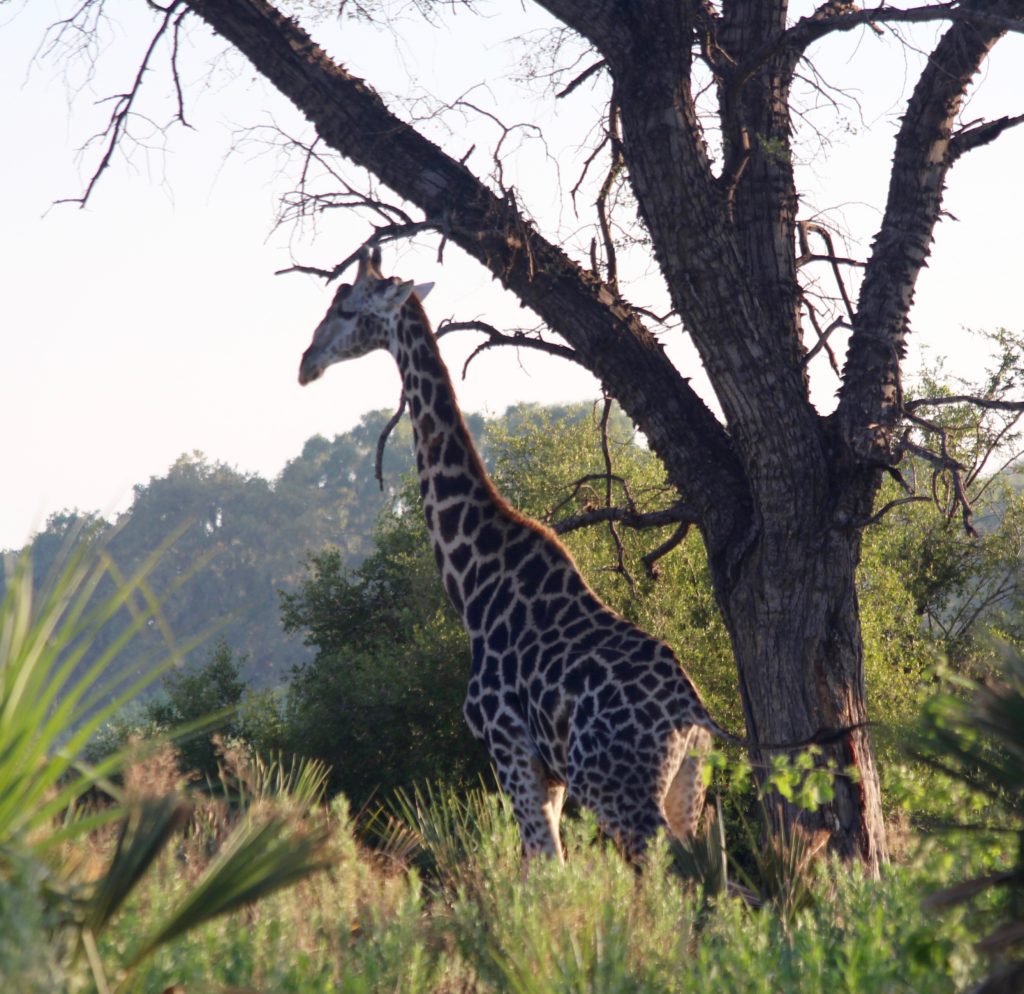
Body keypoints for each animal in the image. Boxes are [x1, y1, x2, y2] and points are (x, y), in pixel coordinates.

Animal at [299, 250, 737, 863]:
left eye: (345, 308)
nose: (306, 363)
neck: (472, 581)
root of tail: (691, 718)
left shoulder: (508, 748)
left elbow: (543, 864)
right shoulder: (544, 772)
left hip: (614, 785)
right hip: (684, 787)